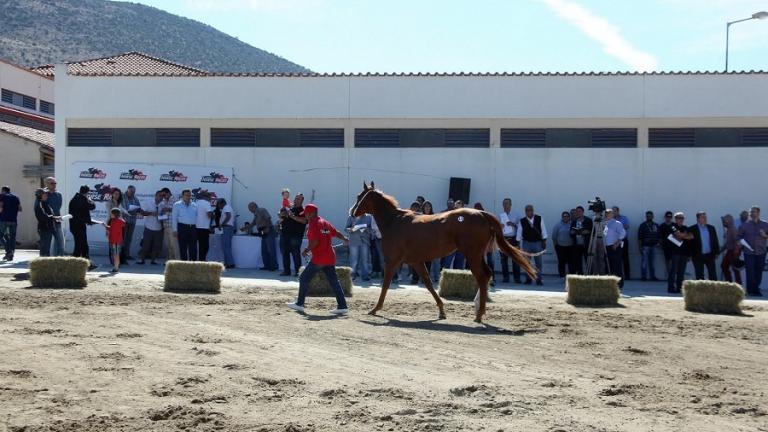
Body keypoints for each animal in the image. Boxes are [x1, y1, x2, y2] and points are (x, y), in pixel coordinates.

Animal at [352, 181, 536, 322]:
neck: (394, 222)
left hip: (472, 255)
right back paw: (479, 310)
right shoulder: (416, 261)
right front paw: (441, 310)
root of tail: (481, 214)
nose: (352, 212)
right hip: (478, 255)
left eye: (360, 197)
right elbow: (428, 283)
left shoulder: (392, 261)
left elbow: (385, 285)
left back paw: (479, 314)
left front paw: (375, 308)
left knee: (482, 276)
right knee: (487, 274)